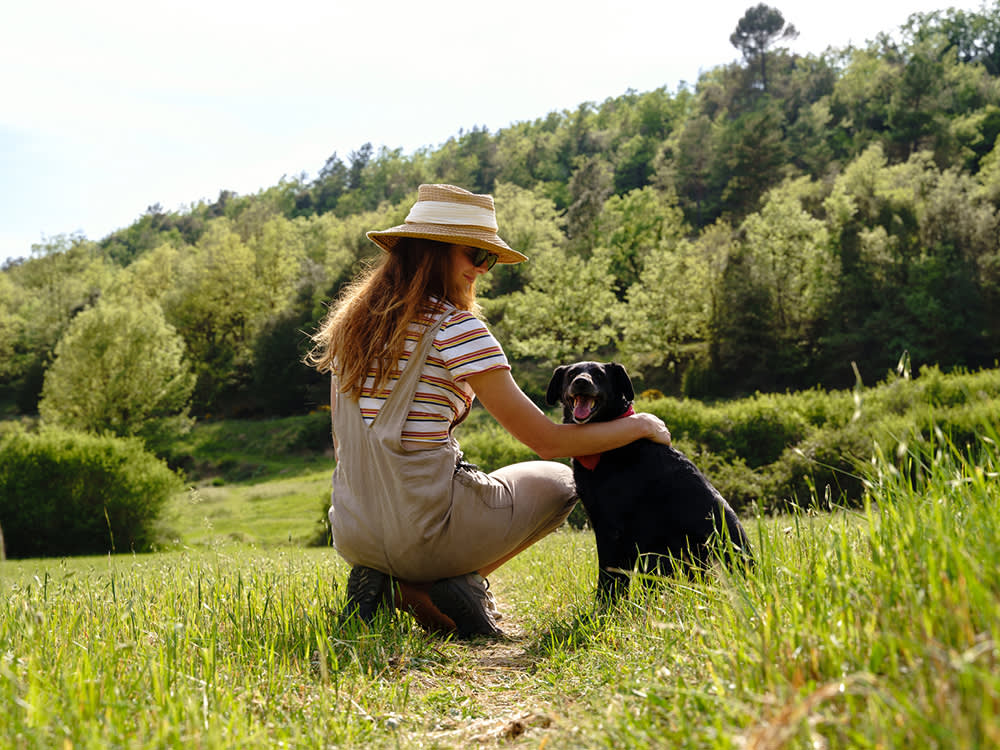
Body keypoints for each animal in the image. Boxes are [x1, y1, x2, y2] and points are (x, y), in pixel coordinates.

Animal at [548, 362, 752, 604]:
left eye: (599, 374)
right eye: (571, 374)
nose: (581, 382)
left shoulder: (611, 529)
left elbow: (610, 576)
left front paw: (606, 608)